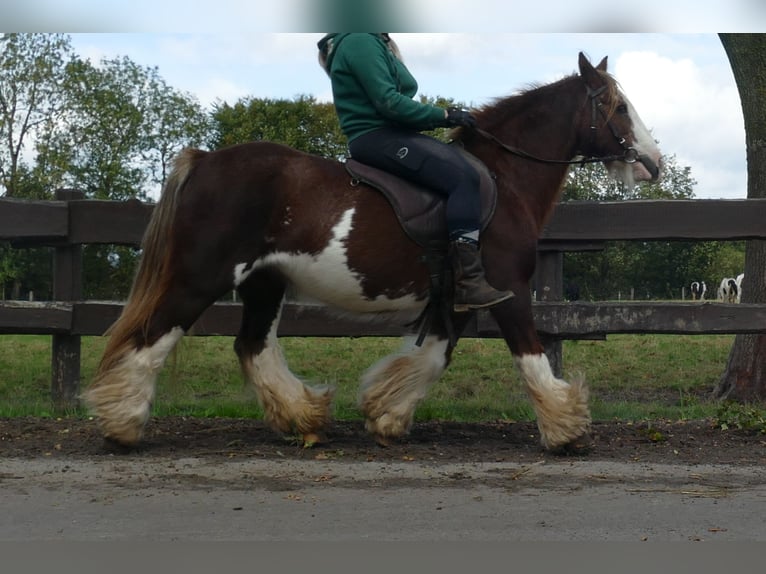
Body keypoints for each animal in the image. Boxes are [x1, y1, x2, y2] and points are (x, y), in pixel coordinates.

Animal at [82, 51, 660, 454]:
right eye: (617, 106)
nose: (653, 162)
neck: (503, 178)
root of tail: (204, 160)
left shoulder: (453, 297)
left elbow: (432, 357)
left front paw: (386, 415)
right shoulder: (508, 291)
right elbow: (532, 359)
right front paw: (568, 432)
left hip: (264, 283)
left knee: (253, 347)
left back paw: (305, 418)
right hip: (201, 276)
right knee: (151, 339)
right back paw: (123, 424)